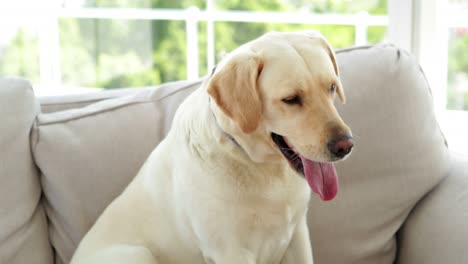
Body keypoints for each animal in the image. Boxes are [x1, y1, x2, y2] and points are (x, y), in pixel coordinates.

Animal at [71, 31, 352, 264]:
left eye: (331, 87)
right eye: (291, 99)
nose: (345, 146)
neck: (261, 167)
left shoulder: (297, 236)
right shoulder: (231, 252)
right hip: (137, 254)